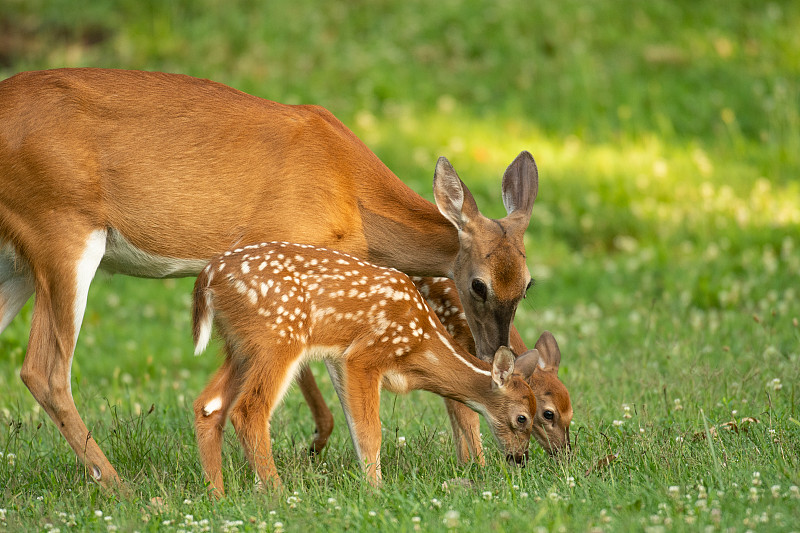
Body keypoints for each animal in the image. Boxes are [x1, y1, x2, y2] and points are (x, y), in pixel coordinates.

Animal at [191, 243, 536, 492]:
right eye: (522, 418)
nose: (521, 458)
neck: (421, 344)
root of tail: (207, 278)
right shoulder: (364, 354)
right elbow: (370, 430)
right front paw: (375, 489)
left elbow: (356, 425)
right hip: (277, 338)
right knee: (249, 408)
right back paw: (276, 493)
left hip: (239, 346)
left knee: (208, 405)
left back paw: (217, 495)